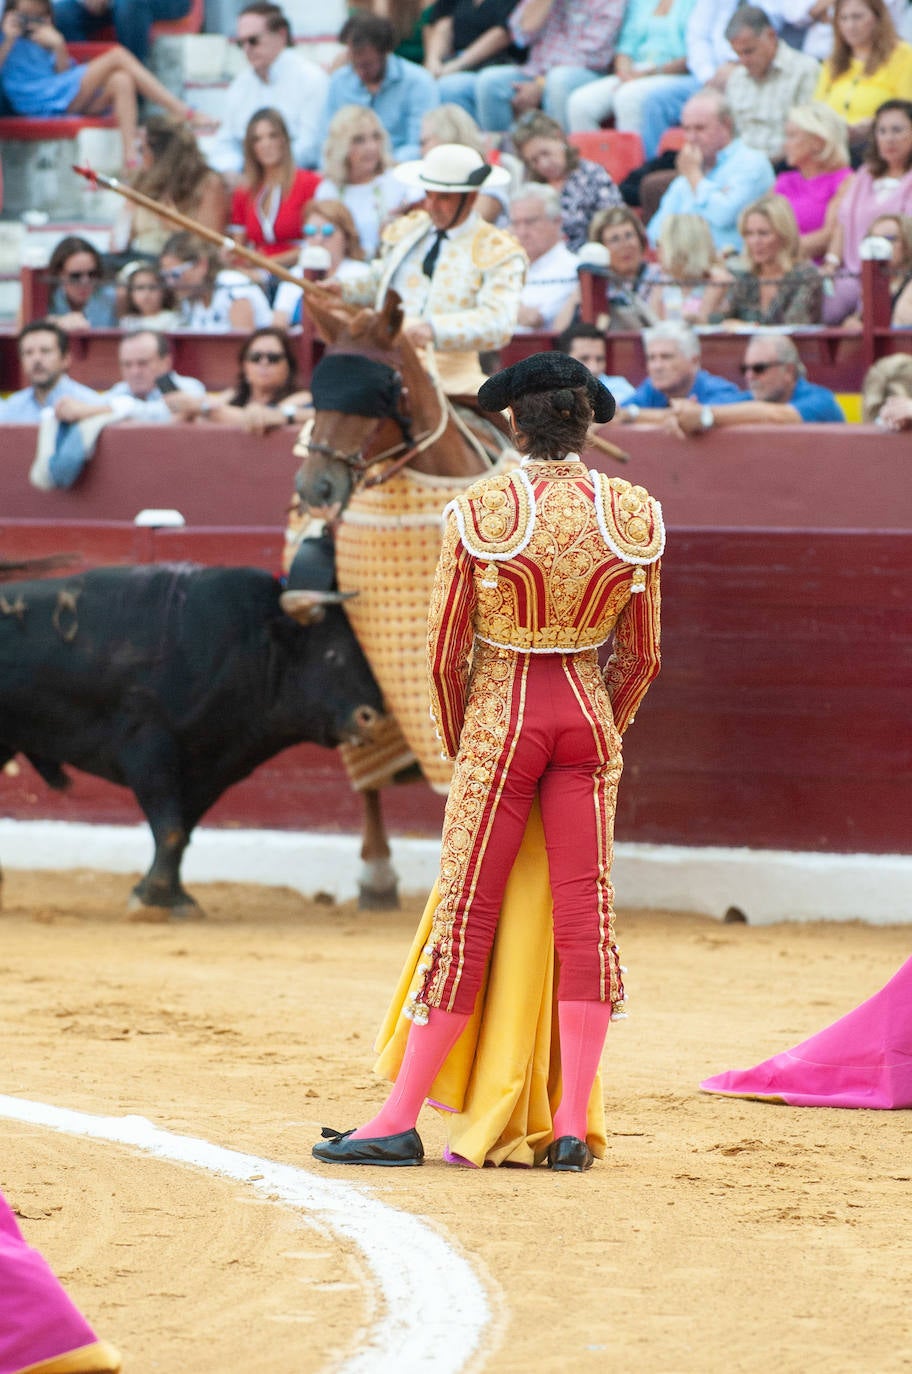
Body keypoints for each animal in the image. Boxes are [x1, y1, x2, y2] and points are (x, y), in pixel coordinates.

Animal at [0, 557, 381, 912]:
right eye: (332, 654)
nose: (373, 716)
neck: (249, 644)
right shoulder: (149, 749)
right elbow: (171, 831)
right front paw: (152, 899)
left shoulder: (213, 768)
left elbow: (184, 830)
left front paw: (170, 897)